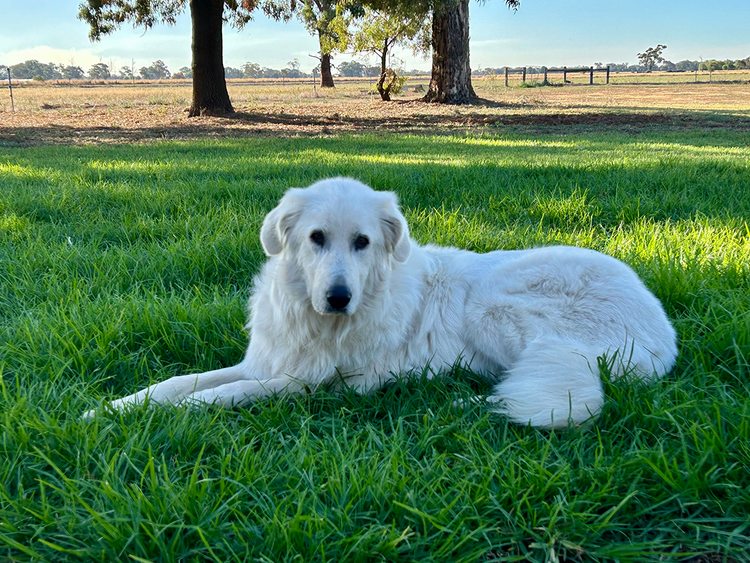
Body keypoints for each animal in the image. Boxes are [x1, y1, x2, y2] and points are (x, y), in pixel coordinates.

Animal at [85, 178, 678, 428]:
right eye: (317, 238)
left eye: (363, 242)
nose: (338, 297)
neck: (322, 325)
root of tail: (663, 334)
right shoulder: (267, 362)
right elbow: (179, 382)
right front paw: (111, 408)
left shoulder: (307, 384)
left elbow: (225, 395)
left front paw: (179, 413)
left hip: (500, 314)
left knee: (528, 392)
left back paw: (451, 403)